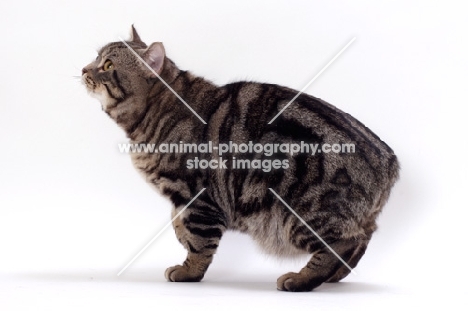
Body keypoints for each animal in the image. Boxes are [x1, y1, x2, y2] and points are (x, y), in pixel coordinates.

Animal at [81, 27, 398, 292]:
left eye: (107, 66)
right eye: (96, 58)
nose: (84, 69)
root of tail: (389, 161)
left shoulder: (198, 196)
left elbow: (199, 241)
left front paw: (189, 271)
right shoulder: (182, 198)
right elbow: (178, 222)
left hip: (300, 214)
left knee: (345, 241)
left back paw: (303, 279)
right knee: (361, 241)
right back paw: (331, 276)